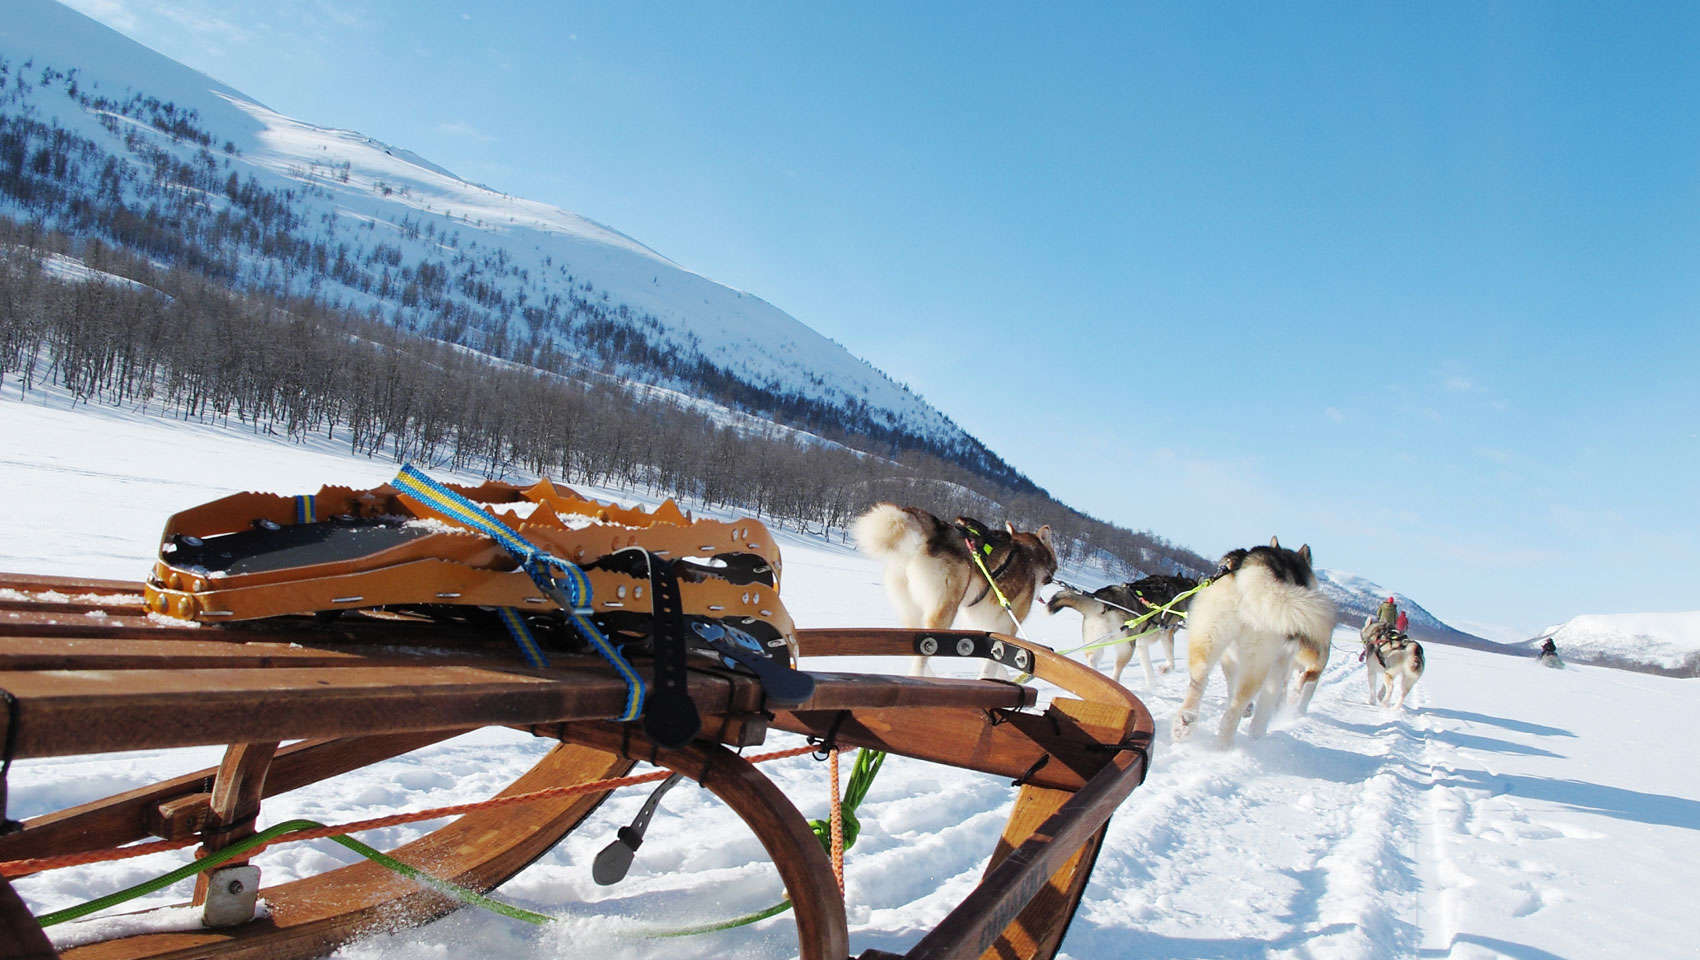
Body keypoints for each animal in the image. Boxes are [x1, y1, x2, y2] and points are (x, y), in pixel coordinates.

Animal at [856, 502, 1054, 672]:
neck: (1030, 555)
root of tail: (935, 529)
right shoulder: (1008, 627)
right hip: (943, 613)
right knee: (923, 654)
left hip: (910, 609)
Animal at [1047, 574, 1196, 686]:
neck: (1181, 588)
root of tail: (1104, 601)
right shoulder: (1167, 634)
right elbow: (1171, 661)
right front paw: (1165, 670)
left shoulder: (1141, 643)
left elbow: (1148, 667)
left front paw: (1152, 685)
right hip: (1127, 648)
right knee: (1116, 671)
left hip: (1098, 642)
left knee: (1093, 660)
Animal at [1176, 536, 1332, 744]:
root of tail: (1256, 564)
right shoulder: (1281, 663)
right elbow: (1268, 702)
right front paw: (1257, 733)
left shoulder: (1230, 658)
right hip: (1258, 661)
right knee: (1236, 705)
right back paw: (1224, 744)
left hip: (1208, 638)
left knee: (1200, 678)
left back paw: (1185, 722)